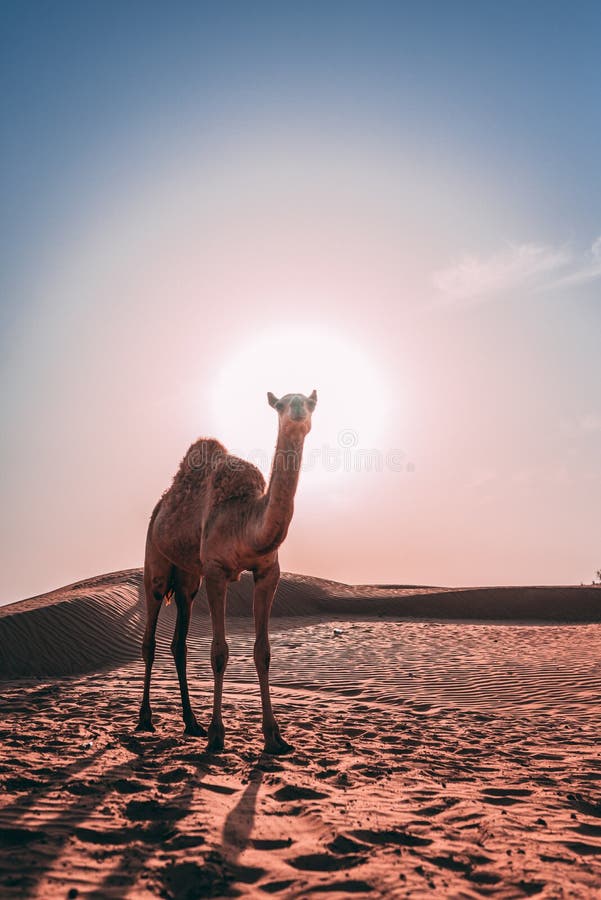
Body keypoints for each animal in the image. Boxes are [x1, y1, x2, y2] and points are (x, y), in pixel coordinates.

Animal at [136, 390, 317, 754]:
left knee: (179, 644)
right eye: (280, 404)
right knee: (150, 637)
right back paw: (146, 720)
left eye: (309, 402)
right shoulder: (216, 571)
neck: (246, 521)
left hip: (188, 579)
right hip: (156, 562)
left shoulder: (268, 572)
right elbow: (219, 652)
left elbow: (263, 653)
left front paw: (274, 737)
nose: (296, 410)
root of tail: (161, 506)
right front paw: (218, 735)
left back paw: (191, 723)